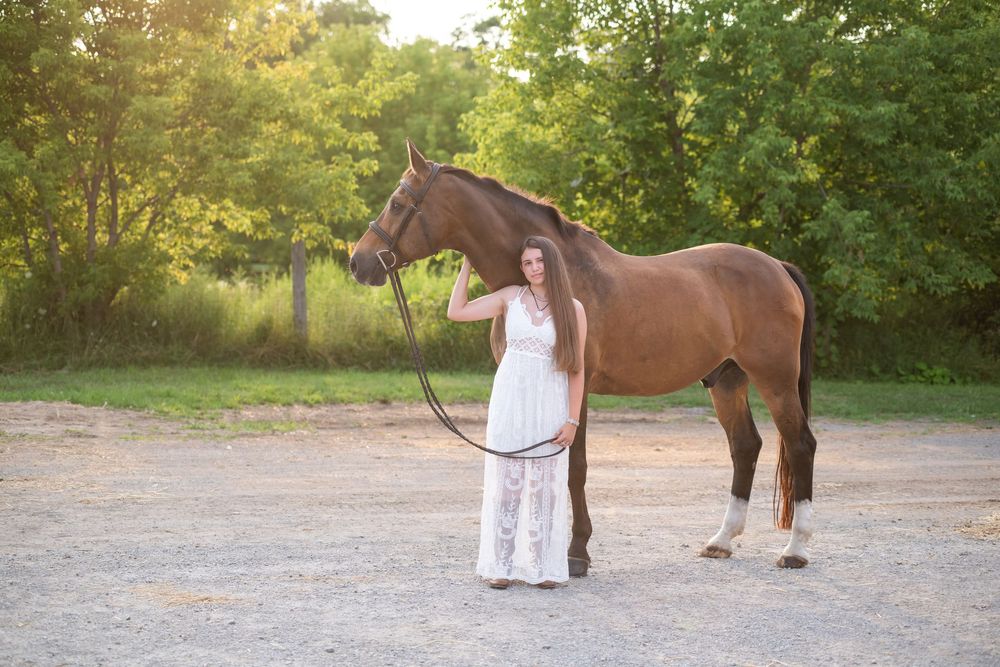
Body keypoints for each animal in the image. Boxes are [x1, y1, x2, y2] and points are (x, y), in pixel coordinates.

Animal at [350, 140, 818, 573]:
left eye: (397, 203)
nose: (358, 262)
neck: (559, 275)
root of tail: (777, 266)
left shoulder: (578, 384)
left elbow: (576, 466)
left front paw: (576, 553)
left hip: (775, 379)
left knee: (800, 444)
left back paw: (794, 549)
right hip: (726, 380)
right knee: (745, 446)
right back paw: (721, 540)